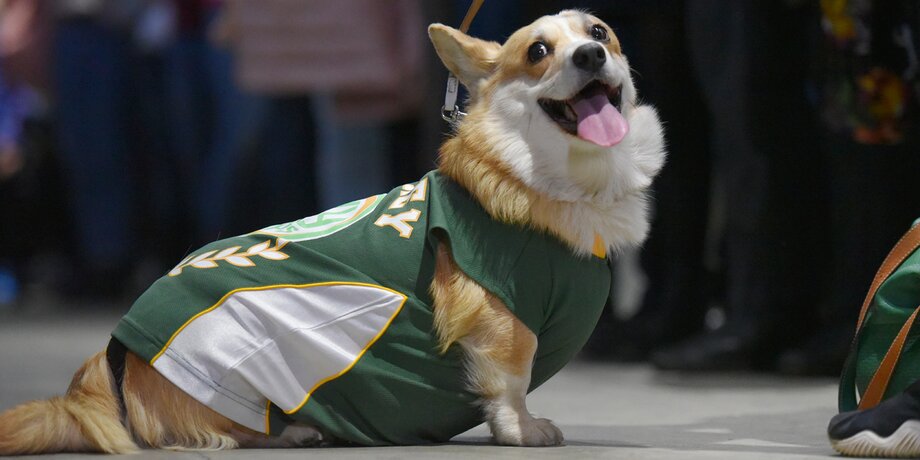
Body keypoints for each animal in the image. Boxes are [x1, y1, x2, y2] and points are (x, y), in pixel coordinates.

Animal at [0, 10, 664, 454]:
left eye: (599, 33)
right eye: (538, 52)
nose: (589, 58)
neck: (544, 175)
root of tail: (111, 367)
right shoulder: (501, 313)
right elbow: (511, 381)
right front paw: (523, 431)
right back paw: (293, 430)